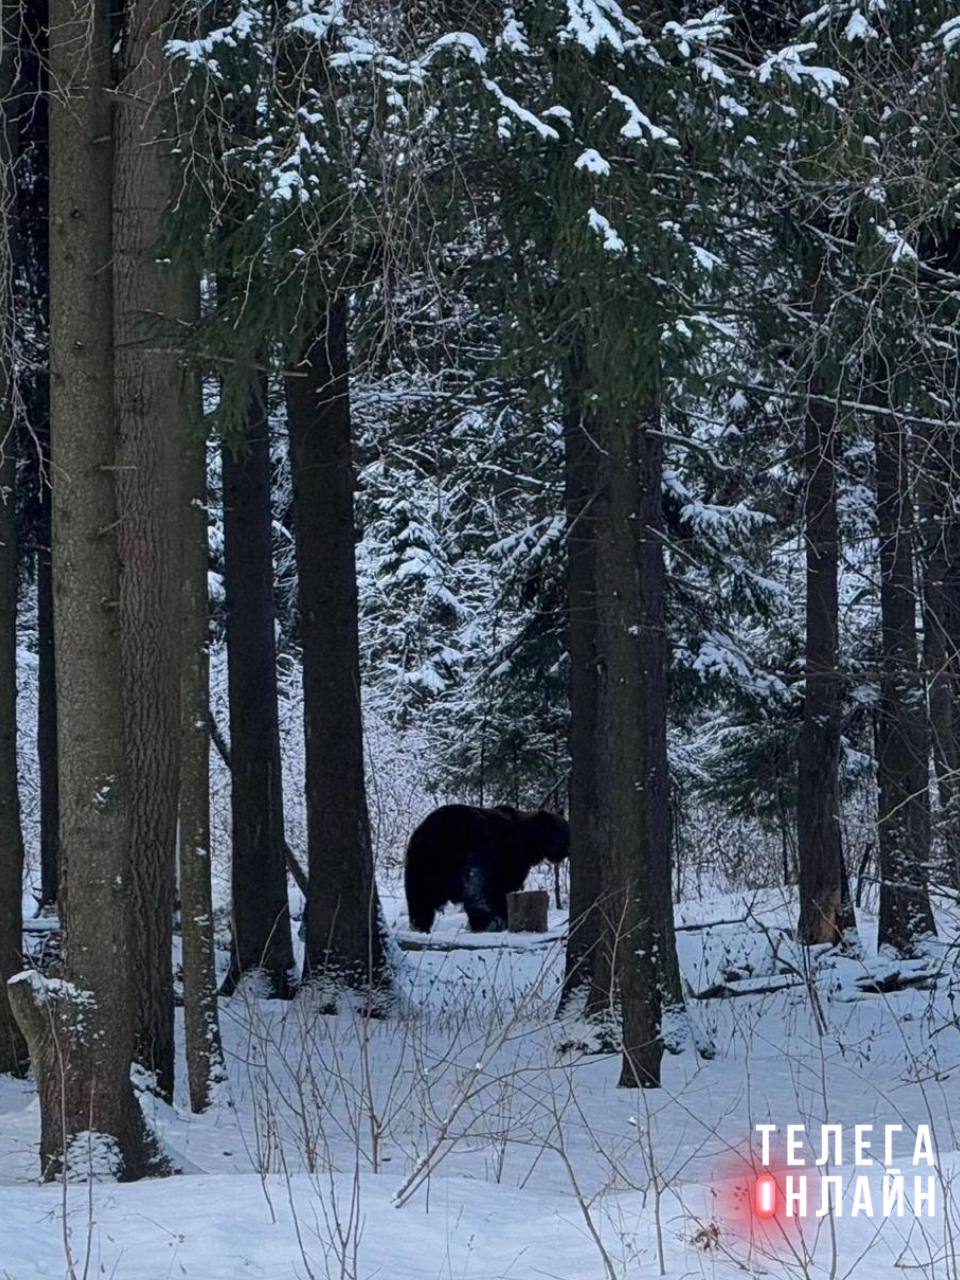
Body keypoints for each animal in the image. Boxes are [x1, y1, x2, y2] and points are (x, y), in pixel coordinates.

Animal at [401, 803, 568, 936]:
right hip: (474, 846)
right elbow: (502, 890)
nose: (566, 850)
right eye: (559, 831)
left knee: (419, 900)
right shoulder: (510, 859)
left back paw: (420, 926)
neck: (530, 843)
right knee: (477, 887)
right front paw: (503, 917)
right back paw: (488, 922)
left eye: (566, 829)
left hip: (420, 863)